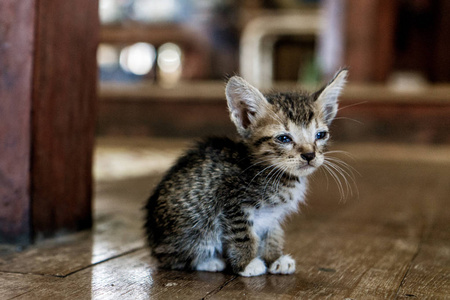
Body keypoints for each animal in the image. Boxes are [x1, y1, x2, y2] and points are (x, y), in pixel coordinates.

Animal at [144, 69, 348, 276]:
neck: (276, 174)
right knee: (175, 258)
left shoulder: (272, 214)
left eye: (320, 135)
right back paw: (210, 262)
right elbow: (243, 235)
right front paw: (247, 264)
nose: (309, 155)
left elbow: (273, 232)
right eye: (284, 138)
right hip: (197, 226)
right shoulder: (232, 202)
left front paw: (275, 258)